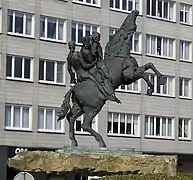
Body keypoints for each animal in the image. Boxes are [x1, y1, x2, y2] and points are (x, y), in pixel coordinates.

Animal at [57, 9, 166, 147]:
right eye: (126, 23)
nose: (135, 11)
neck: (119, 54)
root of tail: (74, 88)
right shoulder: (128, 75)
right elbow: (145, 73)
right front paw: (151, 88)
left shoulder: (130, 76)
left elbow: (149, 65)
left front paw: (159, 81)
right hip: (93, 107)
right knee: (85, 125)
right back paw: (101, 142)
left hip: (80, 107)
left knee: (71, 118)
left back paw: (74, 142)